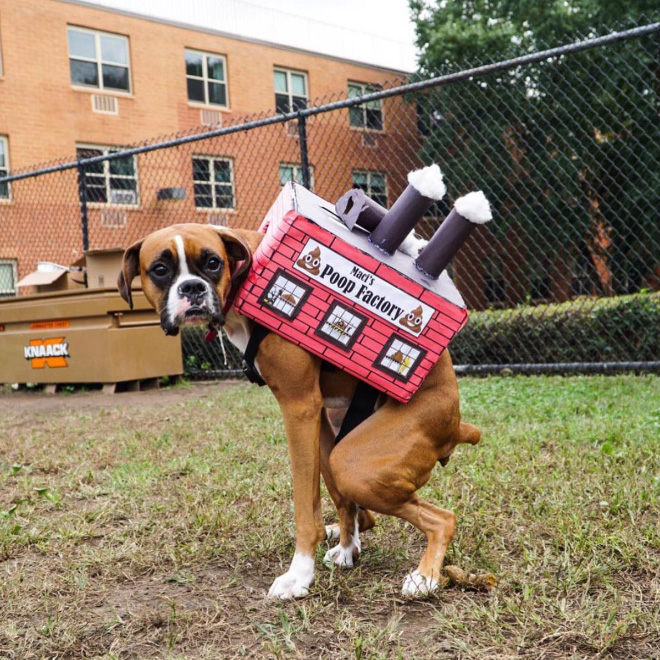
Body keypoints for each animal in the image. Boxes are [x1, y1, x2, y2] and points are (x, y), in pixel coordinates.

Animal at [118, 222, 480, 600]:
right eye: (160, 269)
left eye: (212, 262)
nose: (192, 287)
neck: (248, 274)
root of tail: (456, 424)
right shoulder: (315, 415)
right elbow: (334, 500)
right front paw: (343, 550)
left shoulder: (299, 407)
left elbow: (306, 508)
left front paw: (299, 574)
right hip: (338, 438)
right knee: (353, 500)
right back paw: (350, 544)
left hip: (356, 464)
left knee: (442, 518)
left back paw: (424, 577)